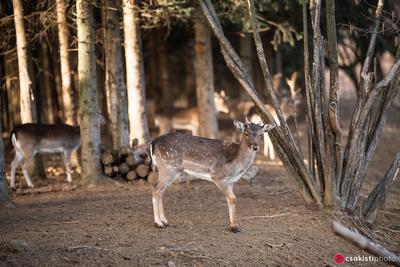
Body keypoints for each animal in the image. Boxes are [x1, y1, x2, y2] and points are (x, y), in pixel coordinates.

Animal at [148, 118, 276, 233]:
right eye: (246, 133)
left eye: (261, 134)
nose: (255, 146)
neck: (237, 163)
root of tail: (153, 143)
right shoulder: (218, 177)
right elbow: (233, 198)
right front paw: (234, 227)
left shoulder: (231, 181)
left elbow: (231, 200)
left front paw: (234, 226)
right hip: (169, 167)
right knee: (155, 188)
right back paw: (158, 223)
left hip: (167, 169)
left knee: (160, 191)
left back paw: (165, 221)